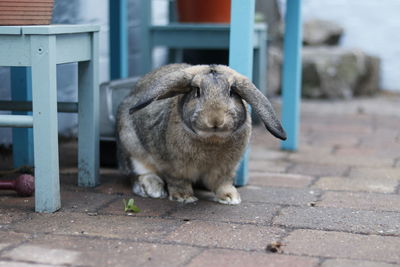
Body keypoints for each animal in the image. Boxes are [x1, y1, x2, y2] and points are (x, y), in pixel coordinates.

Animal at [117, 64, 286, 205]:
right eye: (197, 91)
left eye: (231, 92)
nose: (215, 119)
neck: (212, 139)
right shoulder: (173, 167)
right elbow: (178, 181)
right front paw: (184, 197)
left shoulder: (226, 169)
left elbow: (223, 183)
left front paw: (231, 197)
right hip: (132, 149)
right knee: (139, 173)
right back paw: (153, 188)